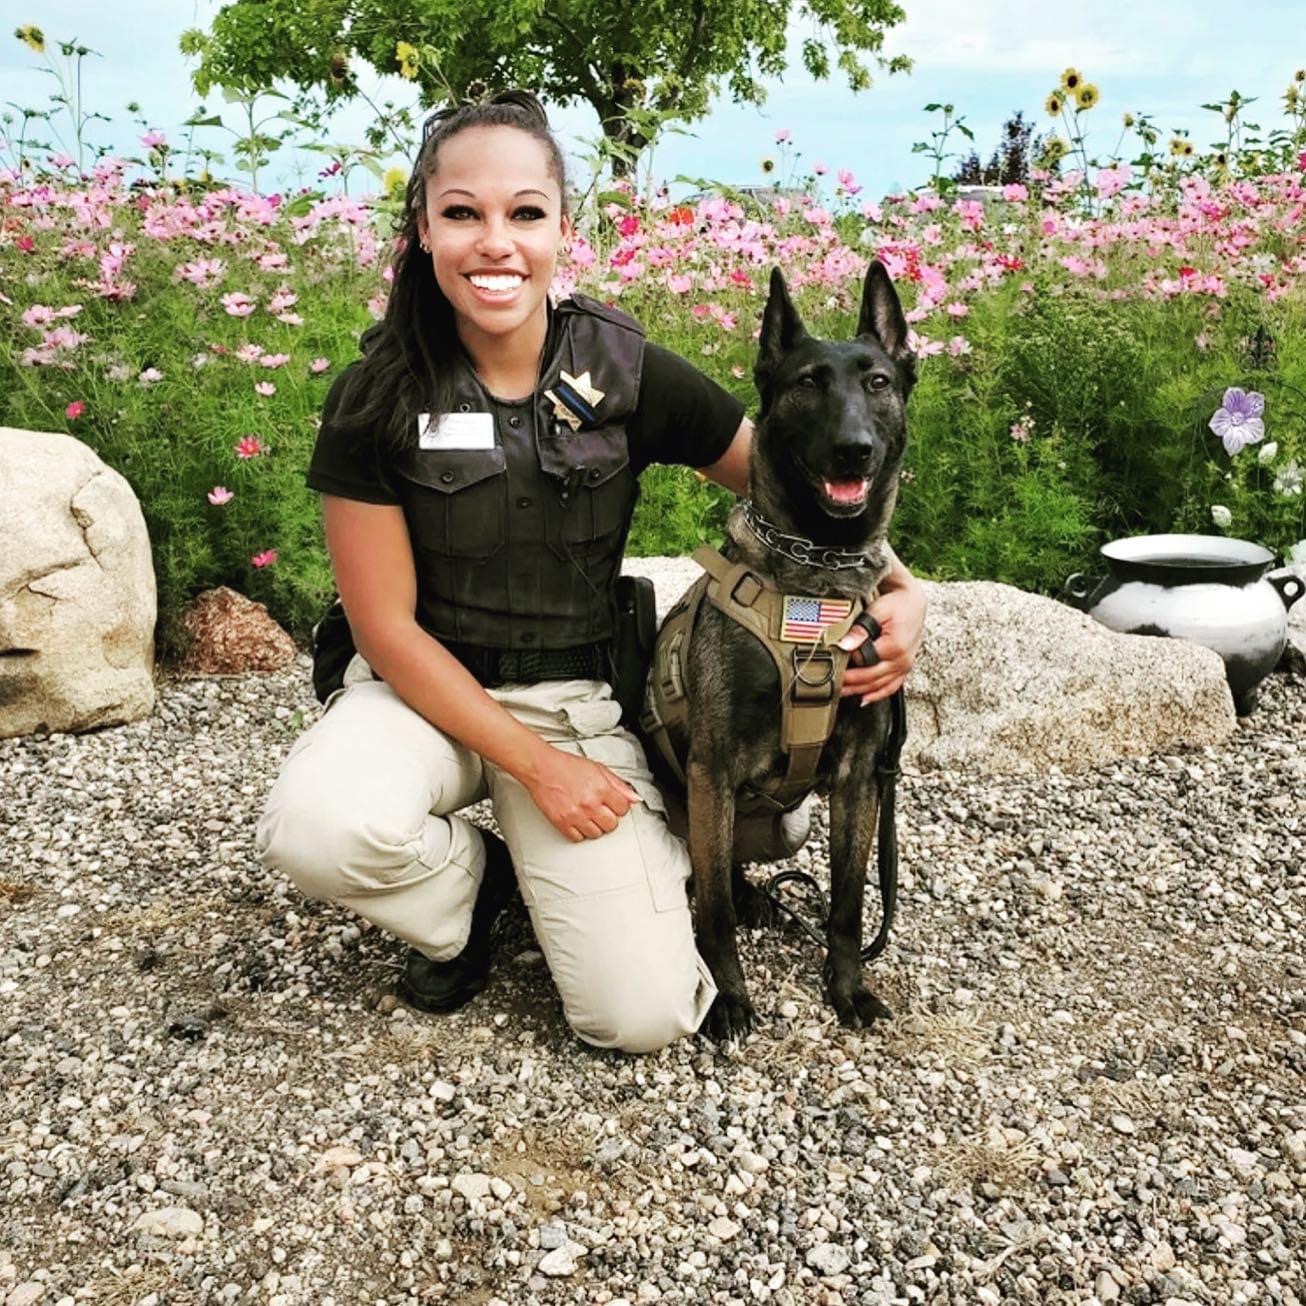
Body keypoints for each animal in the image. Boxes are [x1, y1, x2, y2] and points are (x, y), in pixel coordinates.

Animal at [645, 262, 914, 1039]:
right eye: (808, 382)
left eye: (877, 382)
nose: (854, 446)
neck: (816, 575)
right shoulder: (711, 767)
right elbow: (713, 914)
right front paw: (728, 999)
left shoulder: (859, 777)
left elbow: (848, 902)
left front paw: (847, 988)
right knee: (711, 878)